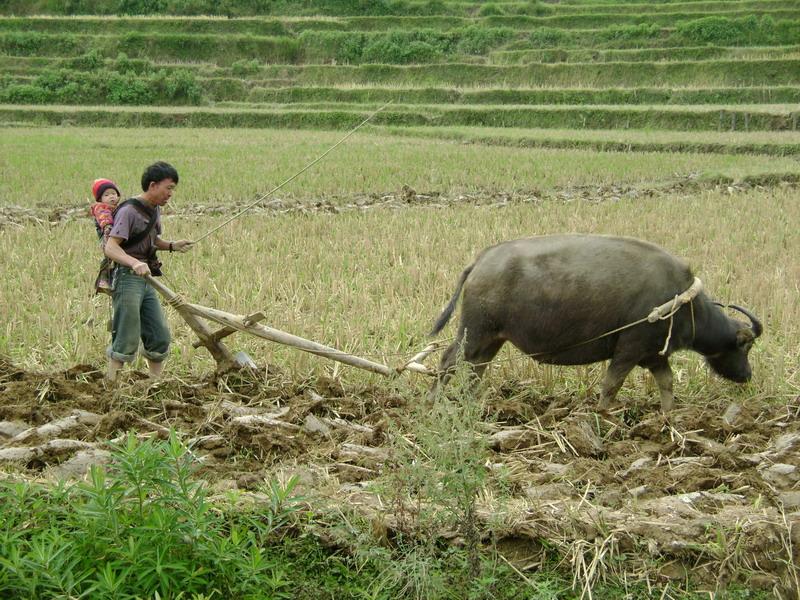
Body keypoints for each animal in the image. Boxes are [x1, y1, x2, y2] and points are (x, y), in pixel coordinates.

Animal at [432, 234, 764, 412]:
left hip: (493, 338)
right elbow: (611, 386)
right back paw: (432, 403)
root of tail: (481, 261)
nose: (747, 375)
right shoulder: (629, 350)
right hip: (474, 331)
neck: (680, 302)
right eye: (745, 346)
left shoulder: (654, 356)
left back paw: (472, 403)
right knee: (448, 361)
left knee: (476, 369)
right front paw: (602, 415)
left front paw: (669, 416)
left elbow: (667, 383)